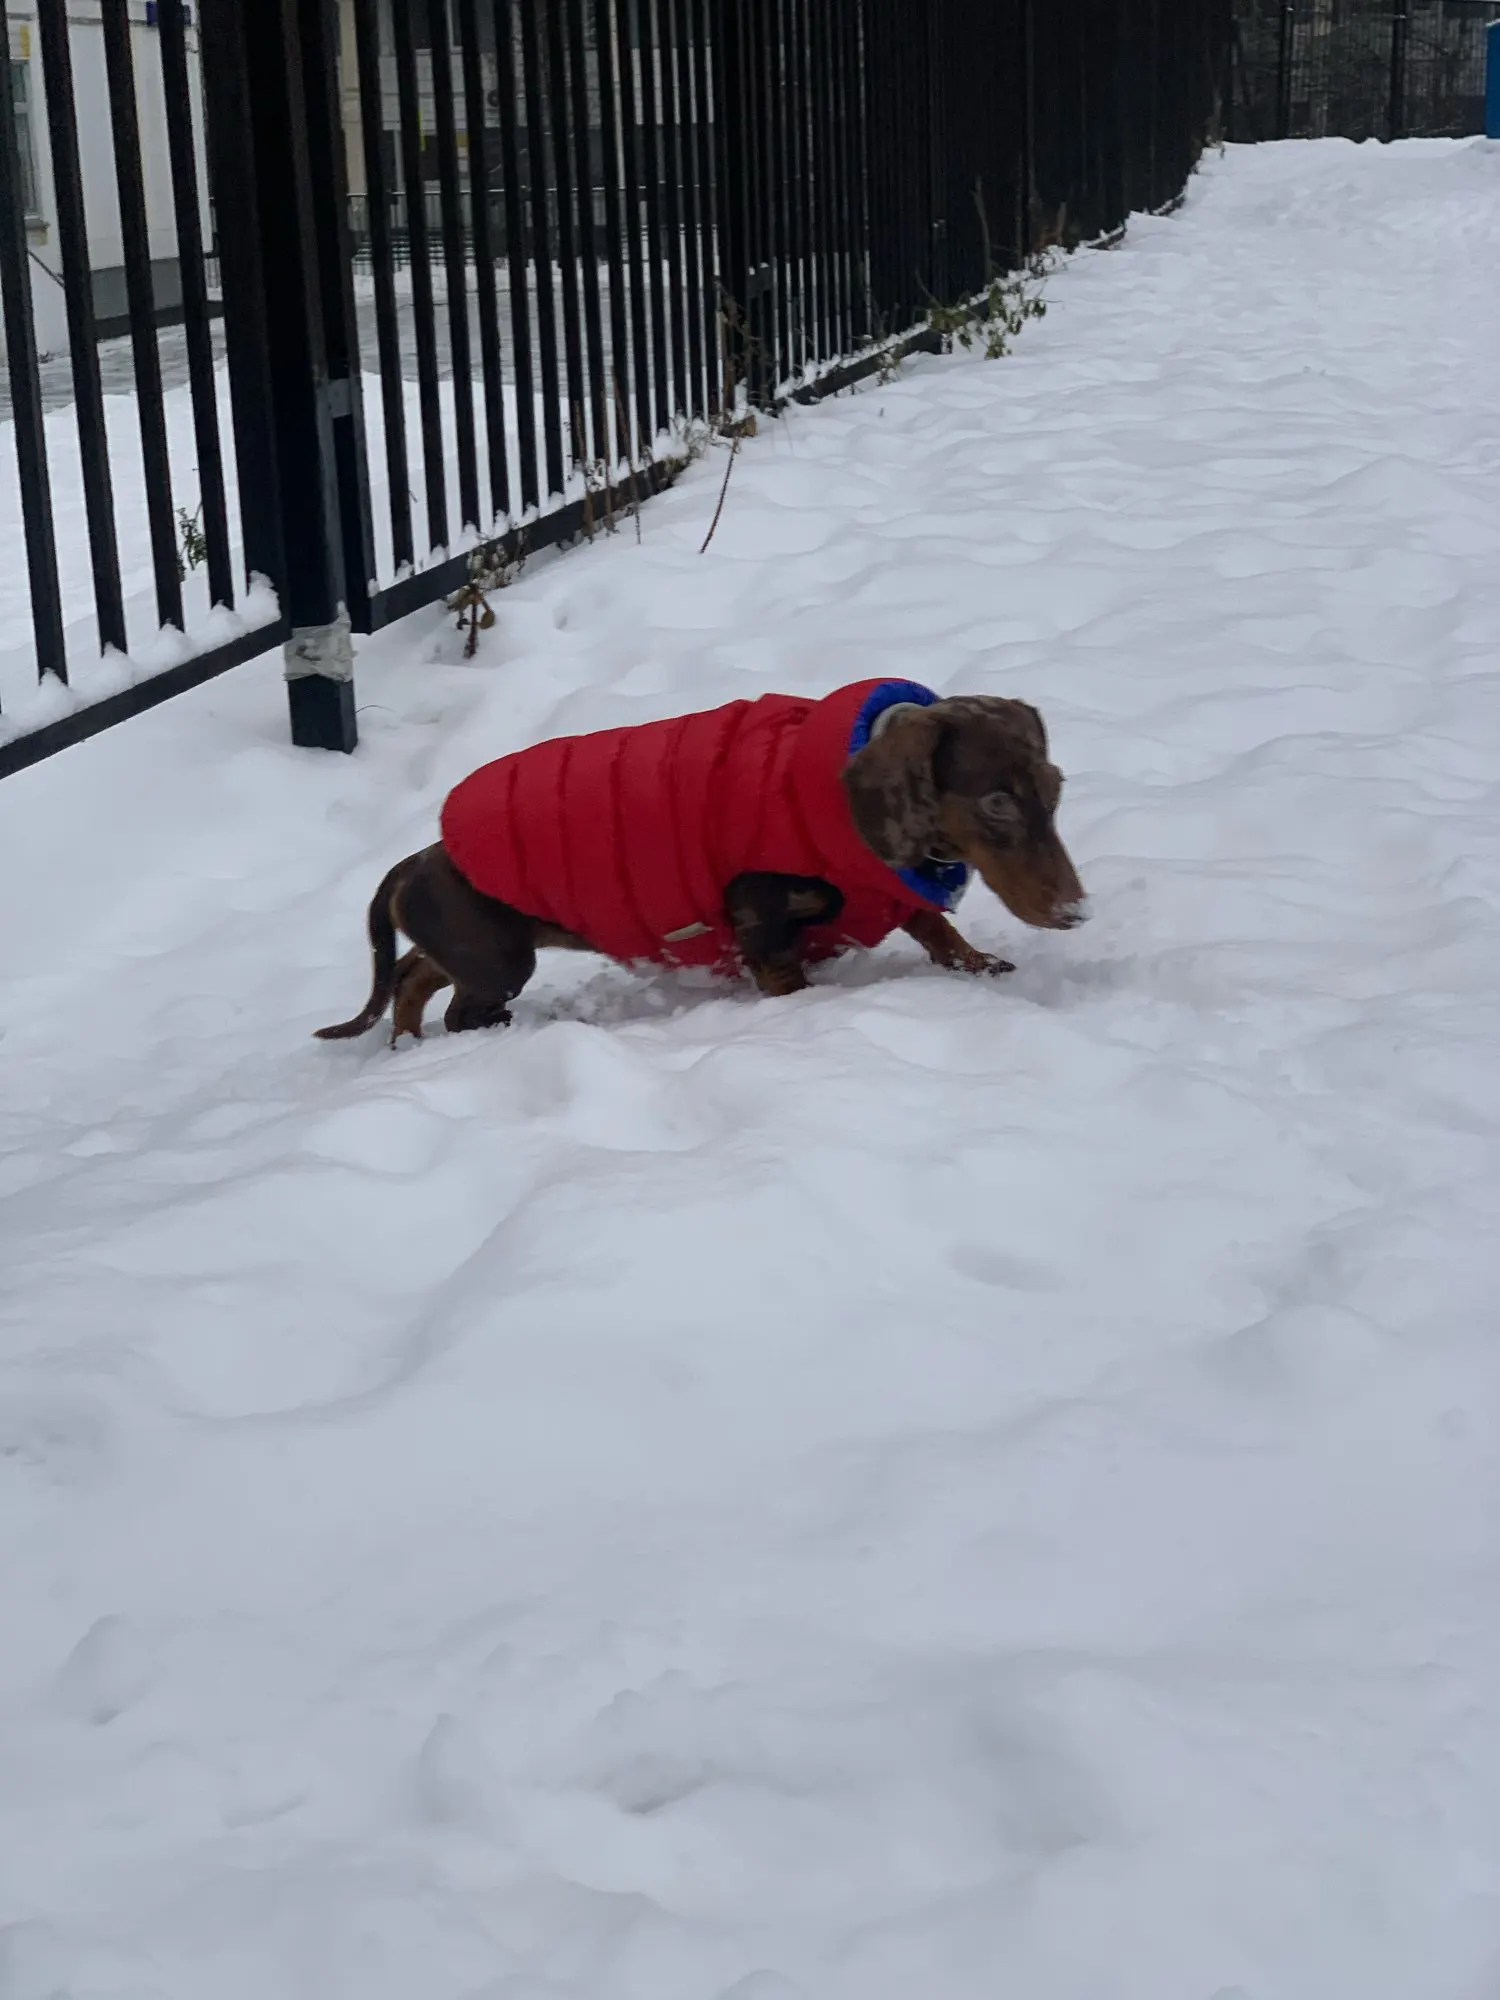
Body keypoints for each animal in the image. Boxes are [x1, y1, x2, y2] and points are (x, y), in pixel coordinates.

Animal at [316, 678, 1084, 1045]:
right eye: (996, 802)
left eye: (1055, 786)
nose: (1076, 911)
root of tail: (415, 861)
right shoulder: (761, 923)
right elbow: (791, 978)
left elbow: (936, 928)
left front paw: (982, 965)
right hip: (500, 962)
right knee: (457, 1009)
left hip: (472, 950)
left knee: (412, 977)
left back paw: (406, 1044)